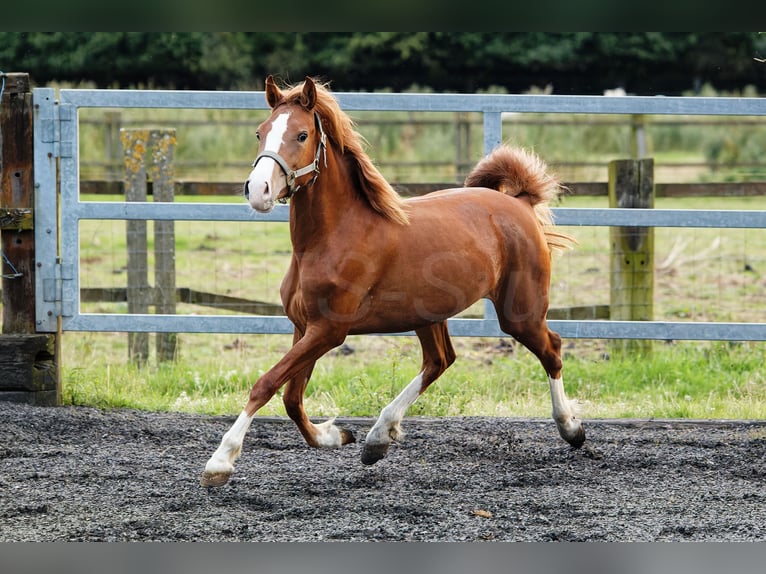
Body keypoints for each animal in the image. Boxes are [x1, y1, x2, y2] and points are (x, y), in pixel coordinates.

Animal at [201, 76, 584, 488]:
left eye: (302, 135)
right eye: (260, 132)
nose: (258, 191)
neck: (331, 238)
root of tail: (520, 203)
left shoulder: (328, 331)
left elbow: (267, 384)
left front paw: (220, 462)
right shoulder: (303, 327)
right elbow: (291, 398)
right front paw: (336, 435)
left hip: (520, 312)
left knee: (552, 349)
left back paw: (572, 429)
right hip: (428, 315)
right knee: (440, 361)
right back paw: (377, 438)